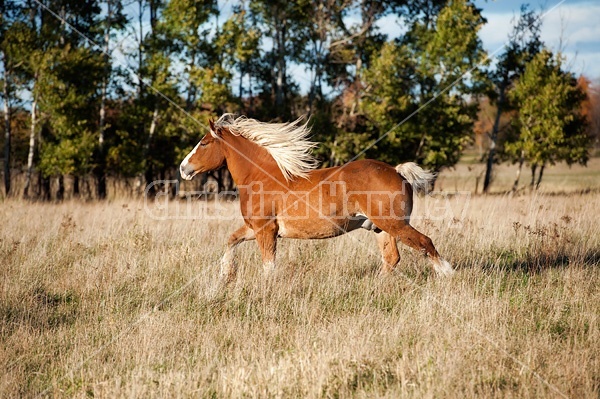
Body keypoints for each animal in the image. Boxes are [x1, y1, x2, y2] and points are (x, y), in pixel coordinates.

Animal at [179, 114, 454, 280]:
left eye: (204, 143)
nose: (183, 168)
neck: (262, 176)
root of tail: (397, 171)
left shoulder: (265, 230)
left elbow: (268, 266)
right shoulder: (254, 228)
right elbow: (231, 241)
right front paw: (226, 274)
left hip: (394, 224)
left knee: (425, 243)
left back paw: (447, 275)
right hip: (380, 228)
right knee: (392, 258)